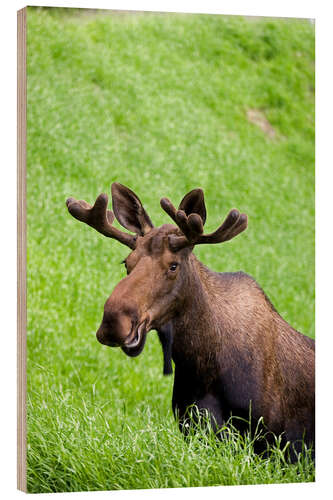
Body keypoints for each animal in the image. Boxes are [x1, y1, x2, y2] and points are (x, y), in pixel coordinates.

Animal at [67, 182, 314, 458]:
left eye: (173, 266)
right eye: (126, 263)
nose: (113, 323)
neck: (201, 364)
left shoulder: (276, 443)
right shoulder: (195, 428)